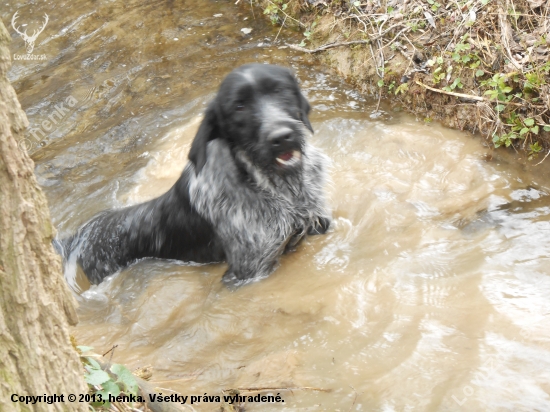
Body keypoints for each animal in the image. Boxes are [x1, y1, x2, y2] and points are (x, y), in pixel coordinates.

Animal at [59, 63, 332, 286]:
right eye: (239, 107)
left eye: (280, 90)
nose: (281, 136)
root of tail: (77, 238)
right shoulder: (250, 271)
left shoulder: (320, 224)